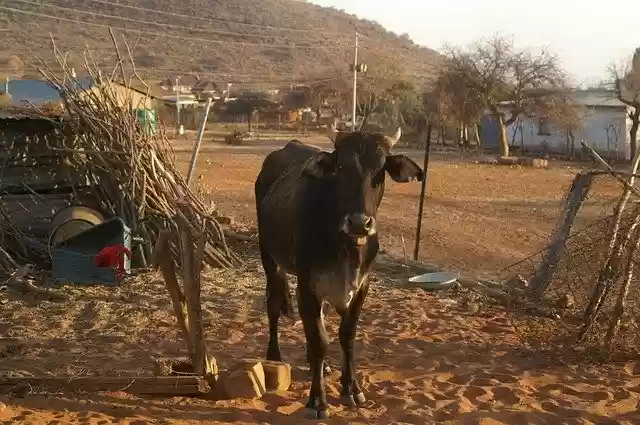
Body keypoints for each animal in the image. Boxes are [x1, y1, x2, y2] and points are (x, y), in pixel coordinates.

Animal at [254, 125, 423, 419]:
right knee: (274, 305)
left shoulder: (361, 286)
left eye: (380, 170)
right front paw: (317, 400)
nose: (359, 223)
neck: (346, 247)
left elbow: (347, 335)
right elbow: (320, 340)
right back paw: (274, 357)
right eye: (342, 167)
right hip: (270, 259)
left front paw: (351, 387)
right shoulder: (307, 285)